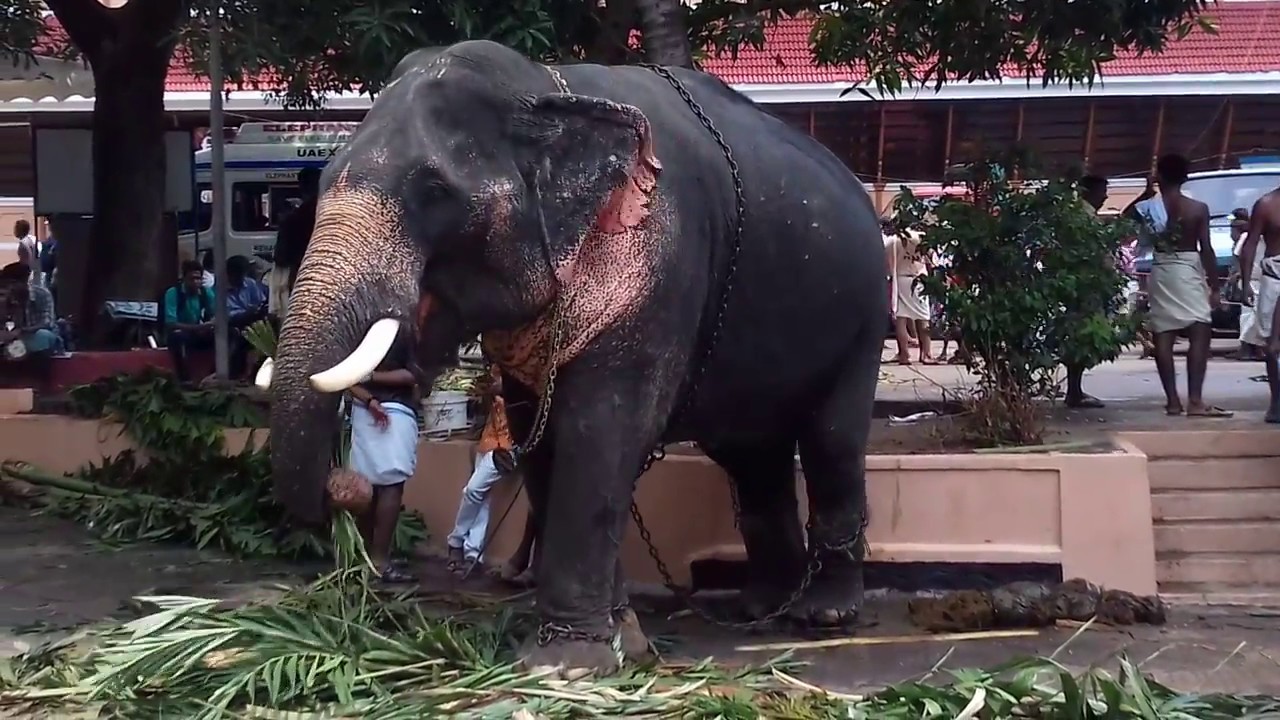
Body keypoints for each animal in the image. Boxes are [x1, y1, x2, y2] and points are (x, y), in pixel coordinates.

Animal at [264, 39, 887, 677]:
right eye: (325, 179)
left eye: (435, 190)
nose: (344, 486)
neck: (545, 86)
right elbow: (540, 440)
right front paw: (624, 641)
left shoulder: (661, 269)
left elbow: (602, 432)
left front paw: (566, 665)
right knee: (752, 457)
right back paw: (760, 606)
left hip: (864, 316)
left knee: (832, 442)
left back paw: (824, 614)